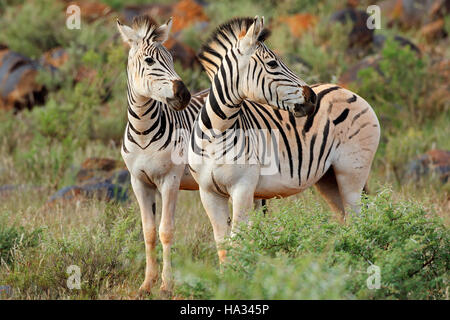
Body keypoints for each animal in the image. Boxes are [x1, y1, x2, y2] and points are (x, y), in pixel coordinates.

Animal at [115, 16, 208, 294]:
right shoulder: (139, 182)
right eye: (149, 61)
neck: (143, 130)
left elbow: (166, 230)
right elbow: (148, 231)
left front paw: (166, 285)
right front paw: (147, 284)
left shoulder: (170, 180)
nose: (184, 94)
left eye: (171, 58)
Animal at [188, 16, 382, 262]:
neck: (216, 133)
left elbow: (237, 241)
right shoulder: (208, 193)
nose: (312, 98)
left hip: (352, 172)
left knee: (359, 219)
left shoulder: (243, 187)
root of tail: (348, 91)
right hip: (328, 178)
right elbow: (223, 246)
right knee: (345, 218)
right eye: (272, 64)